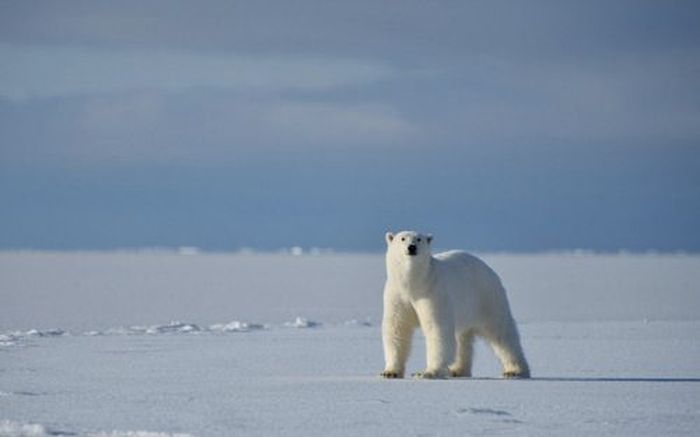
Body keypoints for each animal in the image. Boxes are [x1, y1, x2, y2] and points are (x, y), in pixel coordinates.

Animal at [382, 232, 532, 378]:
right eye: (402, 238)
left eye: (419, 239)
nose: (412, 247)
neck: (414, 285)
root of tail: (489, 269)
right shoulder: (397, 296)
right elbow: (397, 329)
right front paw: (390, 372)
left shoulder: (433, 293)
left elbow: (436, 329)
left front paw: (428, 372)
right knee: (462, 338)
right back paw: (458, 370)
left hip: (487, 297)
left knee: (501, 333)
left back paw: (515, 370)